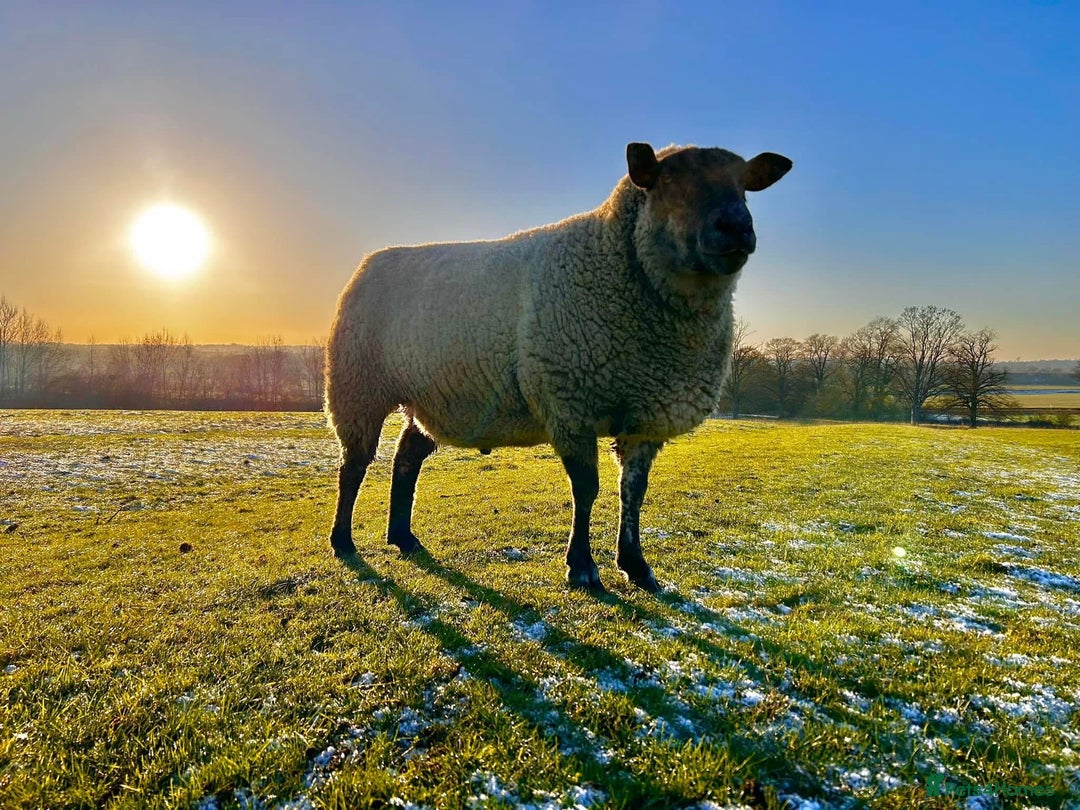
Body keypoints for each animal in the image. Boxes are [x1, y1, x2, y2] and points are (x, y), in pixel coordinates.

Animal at [325, 142, 792, 591]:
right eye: (669, 180)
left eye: (744, 185)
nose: (736, 227)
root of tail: (369, 262)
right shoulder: (570, 403)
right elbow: (586, 490)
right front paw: (582, 568)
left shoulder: (645, 417)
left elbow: (633, 492)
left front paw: (636, 566)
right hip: (357, 385)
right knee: (354, 466)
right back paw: (343, 541)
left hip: (433, 399)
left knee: (406, 459)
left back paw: (403, 537)